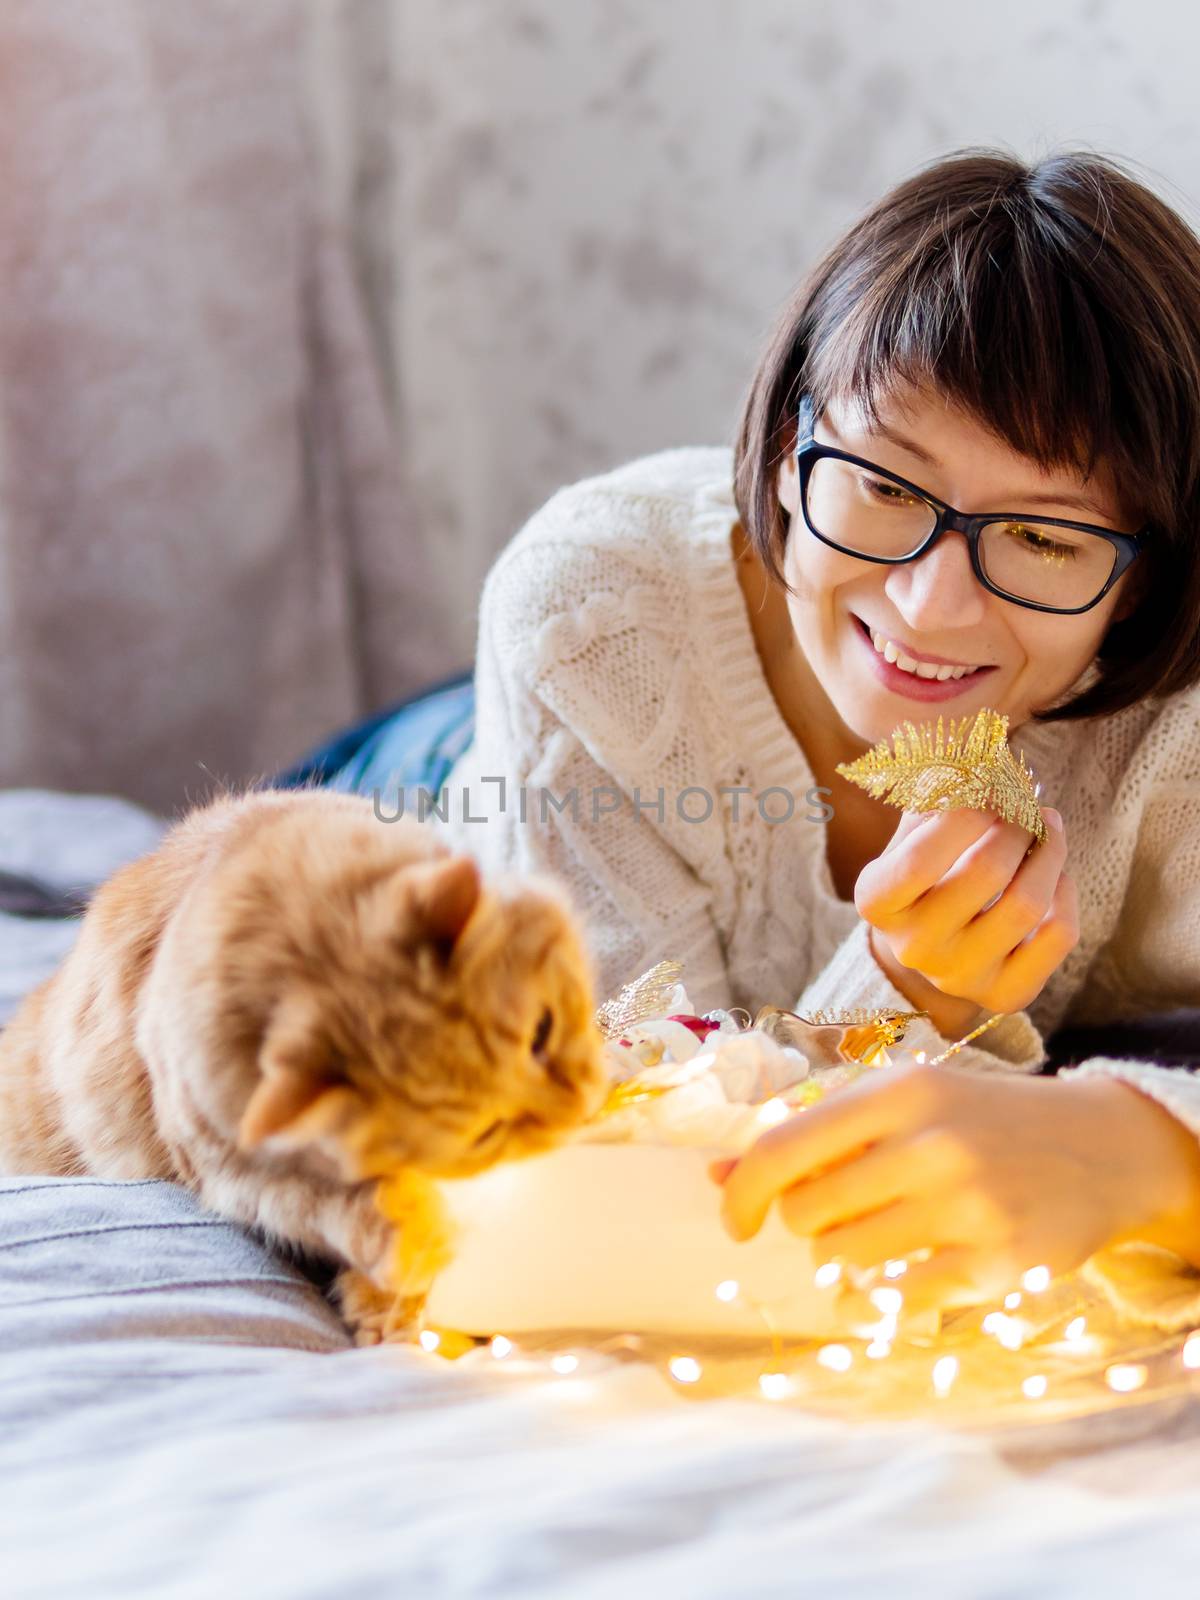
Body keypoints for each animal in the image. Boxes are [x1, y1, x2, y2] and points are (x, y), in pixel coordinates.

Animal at [0, 787, 604, 1337]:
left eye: (543, 1032)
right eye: (484, 1134)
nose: (578, 1111)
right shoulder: (237, 1175)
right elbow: (331, 1211)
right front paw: (398, 1268)